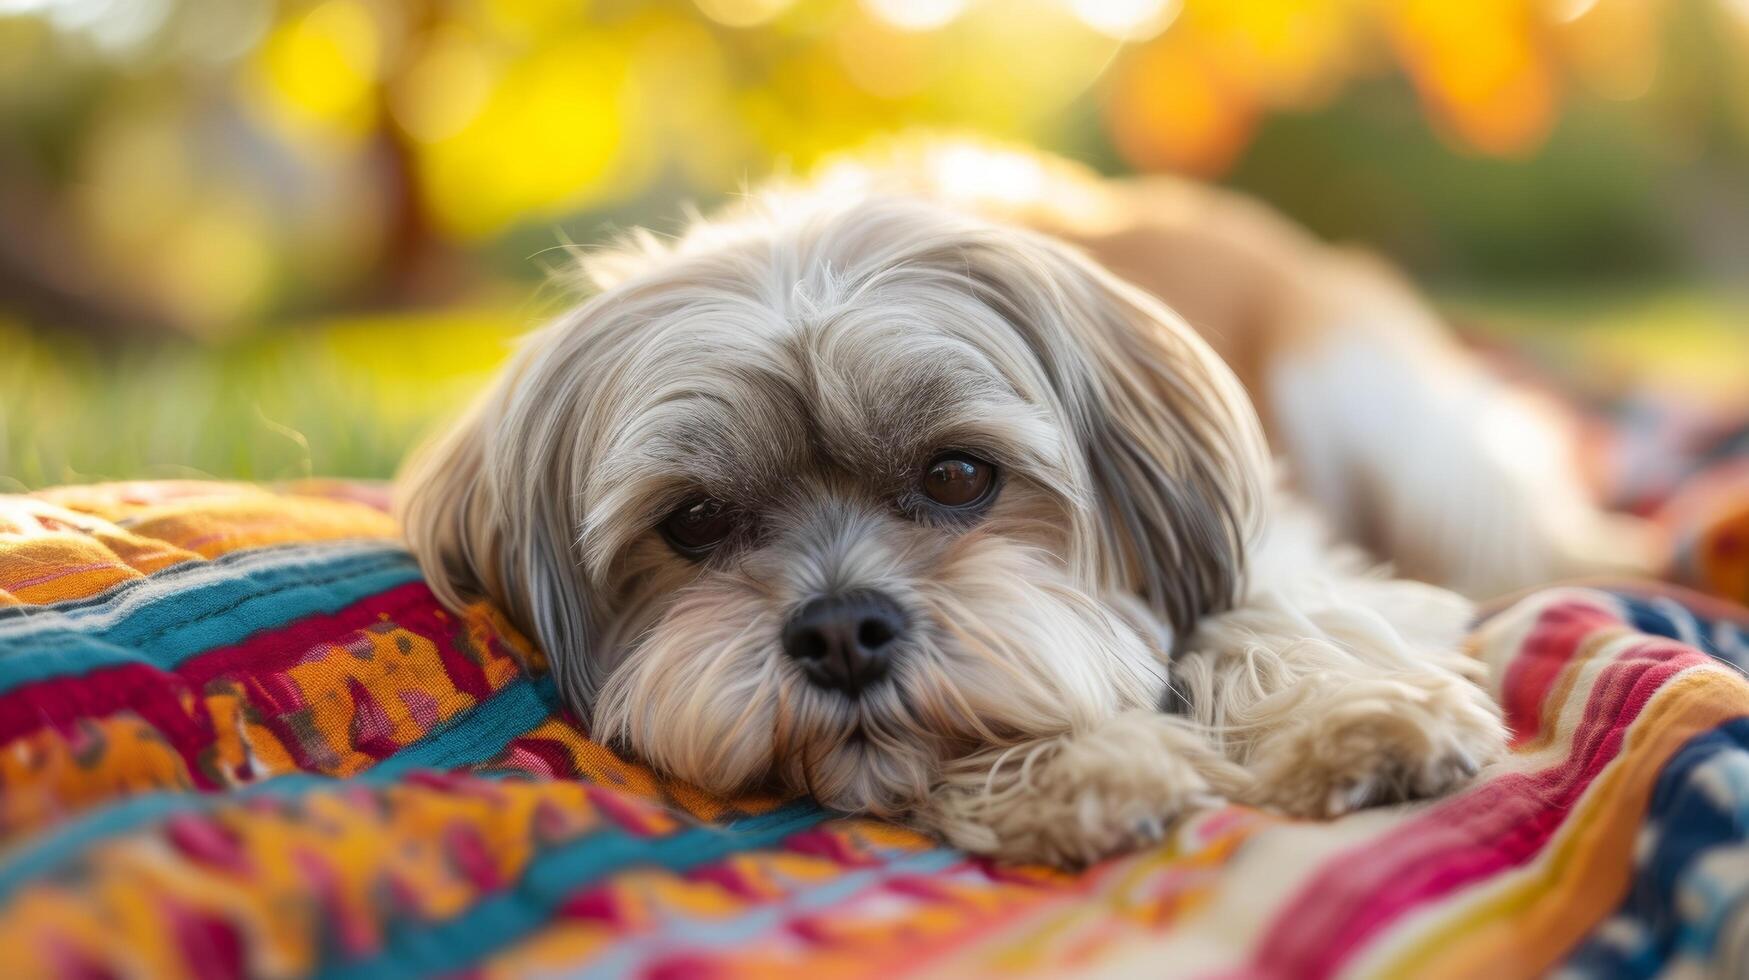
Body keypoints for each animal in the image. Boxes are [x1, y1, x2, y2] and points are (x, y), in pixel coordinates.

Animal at [400, 140, 1651, 864]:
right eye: (696, 521)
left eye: (958, 473)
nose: (840, 630)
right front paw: (1083, 771)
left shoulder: (1278, 538)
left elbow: (1270, 614)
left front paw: (1353, 716)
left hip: (1388, 420)